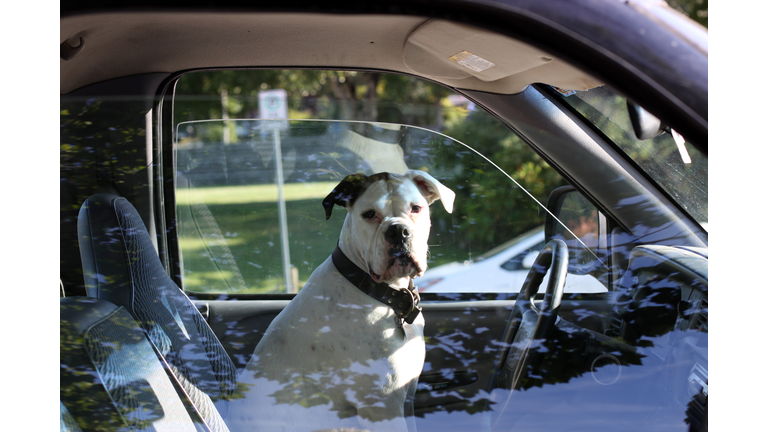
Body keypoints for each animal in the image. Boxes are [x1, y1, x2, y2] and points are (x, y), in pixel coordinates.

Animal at [225, 170, 452, 430]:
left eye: (416, 208)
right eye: (369, 214)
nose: (398, 231)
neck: (376, 291)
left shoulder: (406, 401)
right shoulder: (384, 408)